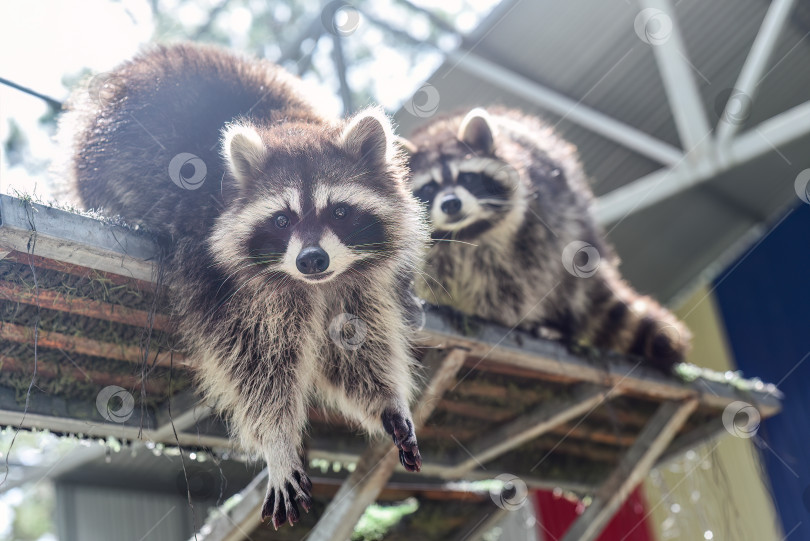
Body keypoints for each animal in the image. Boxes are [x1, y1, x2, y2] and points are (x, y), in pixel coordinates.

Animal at [59, 43, 426, 528]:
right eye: (282, 219)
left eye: (340, 212)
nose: (312, 260)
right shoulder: (214, 272)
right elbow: (254, 361)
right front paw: (277, 444)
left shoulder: (348, 282)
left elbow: (354, 344)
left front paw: (387, 401)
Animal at [404, 108, 688, 372]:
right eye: (429, 188)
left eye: (467, 177)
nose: (451, 204)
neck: (465, 231)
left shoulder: (532, 227)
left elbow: (515, 282)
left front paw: (495, 316)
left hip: (572, 232)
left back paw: (558, 325)